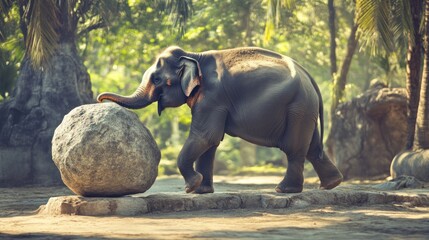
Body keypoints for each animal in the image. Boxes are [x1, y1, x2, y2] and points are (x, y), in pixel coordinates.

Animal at [97, 46, 342, 193]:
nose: (100, 98)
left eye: (157, 79)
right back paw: (331, 184)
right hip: (305, 109)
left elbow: (205, 136)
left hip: (297, 107)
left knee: (294, 148)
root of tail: (309, 77)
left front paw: (191, 187)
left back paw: (283, 190)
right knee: (312, 148)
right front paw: (201, 190)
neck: (193, 55)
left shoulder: (213, 98)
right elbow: (211, 143)